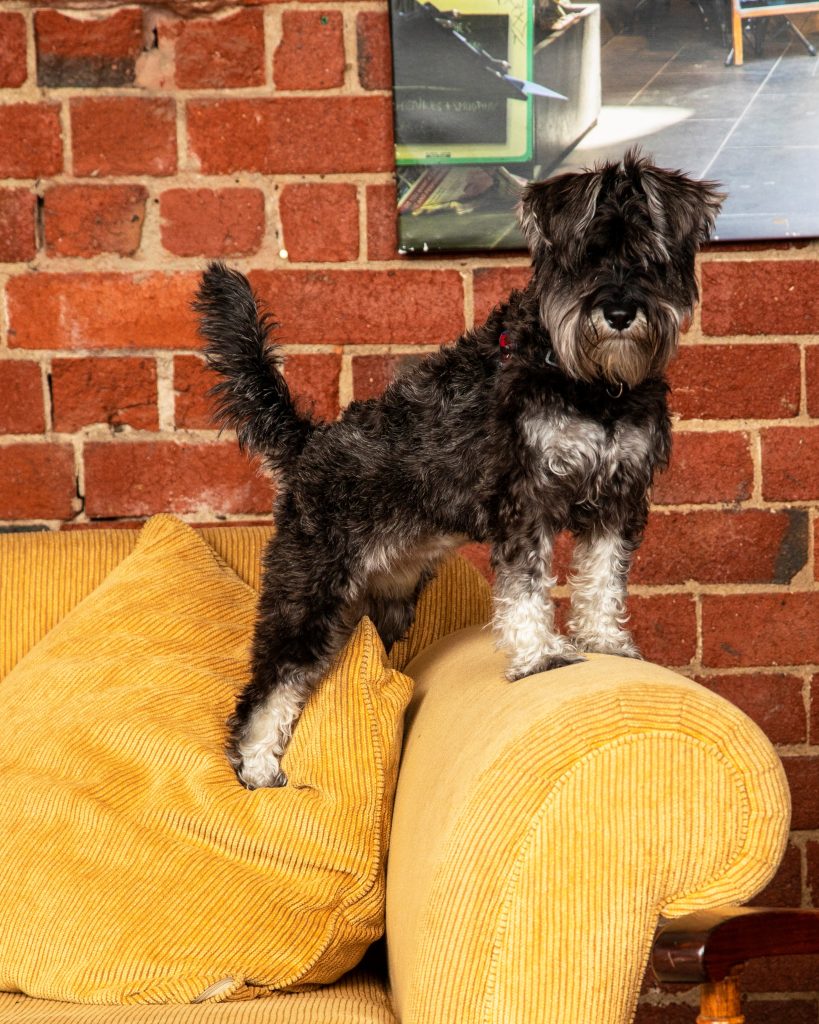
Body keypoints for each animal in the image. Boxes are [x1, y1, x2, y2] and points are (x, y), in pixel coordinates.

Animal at [193, 148, 724, 786]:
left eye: (650, 256)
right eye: (585, 258)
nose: (620, 312)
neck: (594, 386)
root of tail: (309, 443)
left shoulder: (617, 500)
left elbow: (602, 578)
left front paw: (605, 641)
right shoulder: (526, 500)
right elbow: (526, 588)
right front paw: (541, 656)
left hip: (388, 598)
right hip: (309, 589)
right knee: (269, 684)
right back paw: (257, 767)